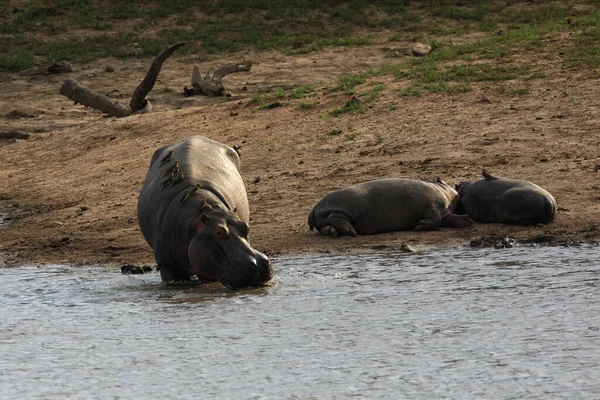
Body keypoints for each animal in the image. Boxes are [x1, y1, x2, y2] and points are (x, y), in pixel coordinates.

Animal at [310, 177, 474, 236]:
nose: (469, 218)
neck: (445, 192)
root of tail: (314, 207)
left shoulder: (444, 212)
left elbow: (449, 219)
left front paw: (465, 220)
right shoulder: (431, 206)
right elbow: (435, 220)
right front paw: (419, 227)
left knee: (327, 227)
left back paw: (336, 233)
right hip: (341, 210)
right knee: (335, 218)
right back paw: (351, 232)